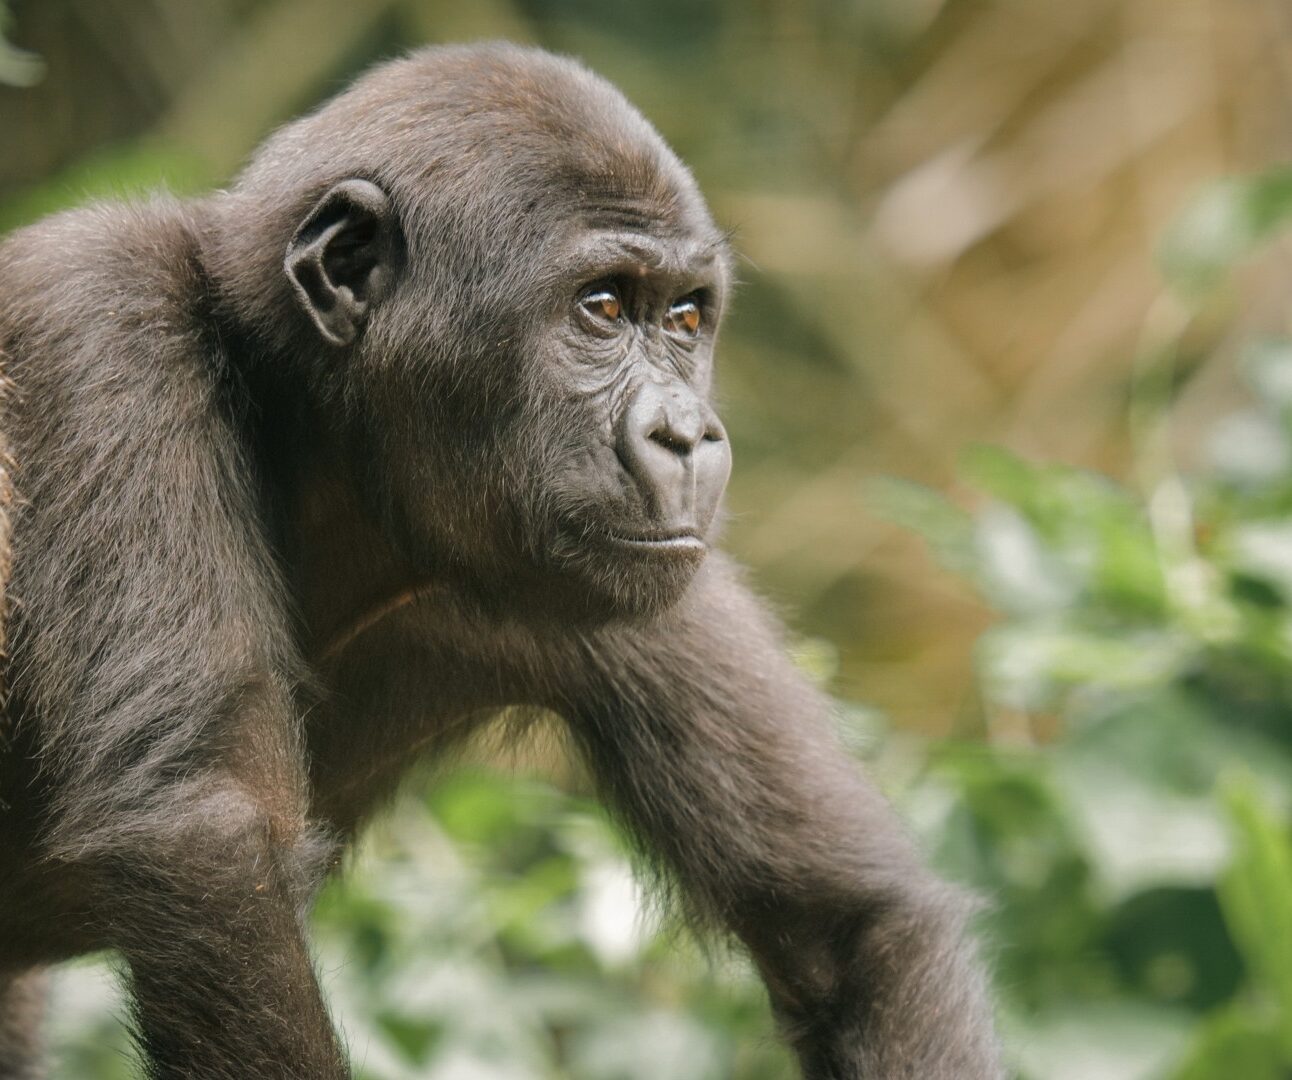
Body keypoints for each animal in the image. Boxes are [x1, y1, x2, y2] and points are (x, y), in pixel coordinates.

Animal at [0, 43, 1003, 1080]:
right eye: (601, 306)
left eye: (686, 319)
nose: (688, 435)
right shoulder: (105, 323)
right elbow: (203, 840)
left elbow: (852, 925)